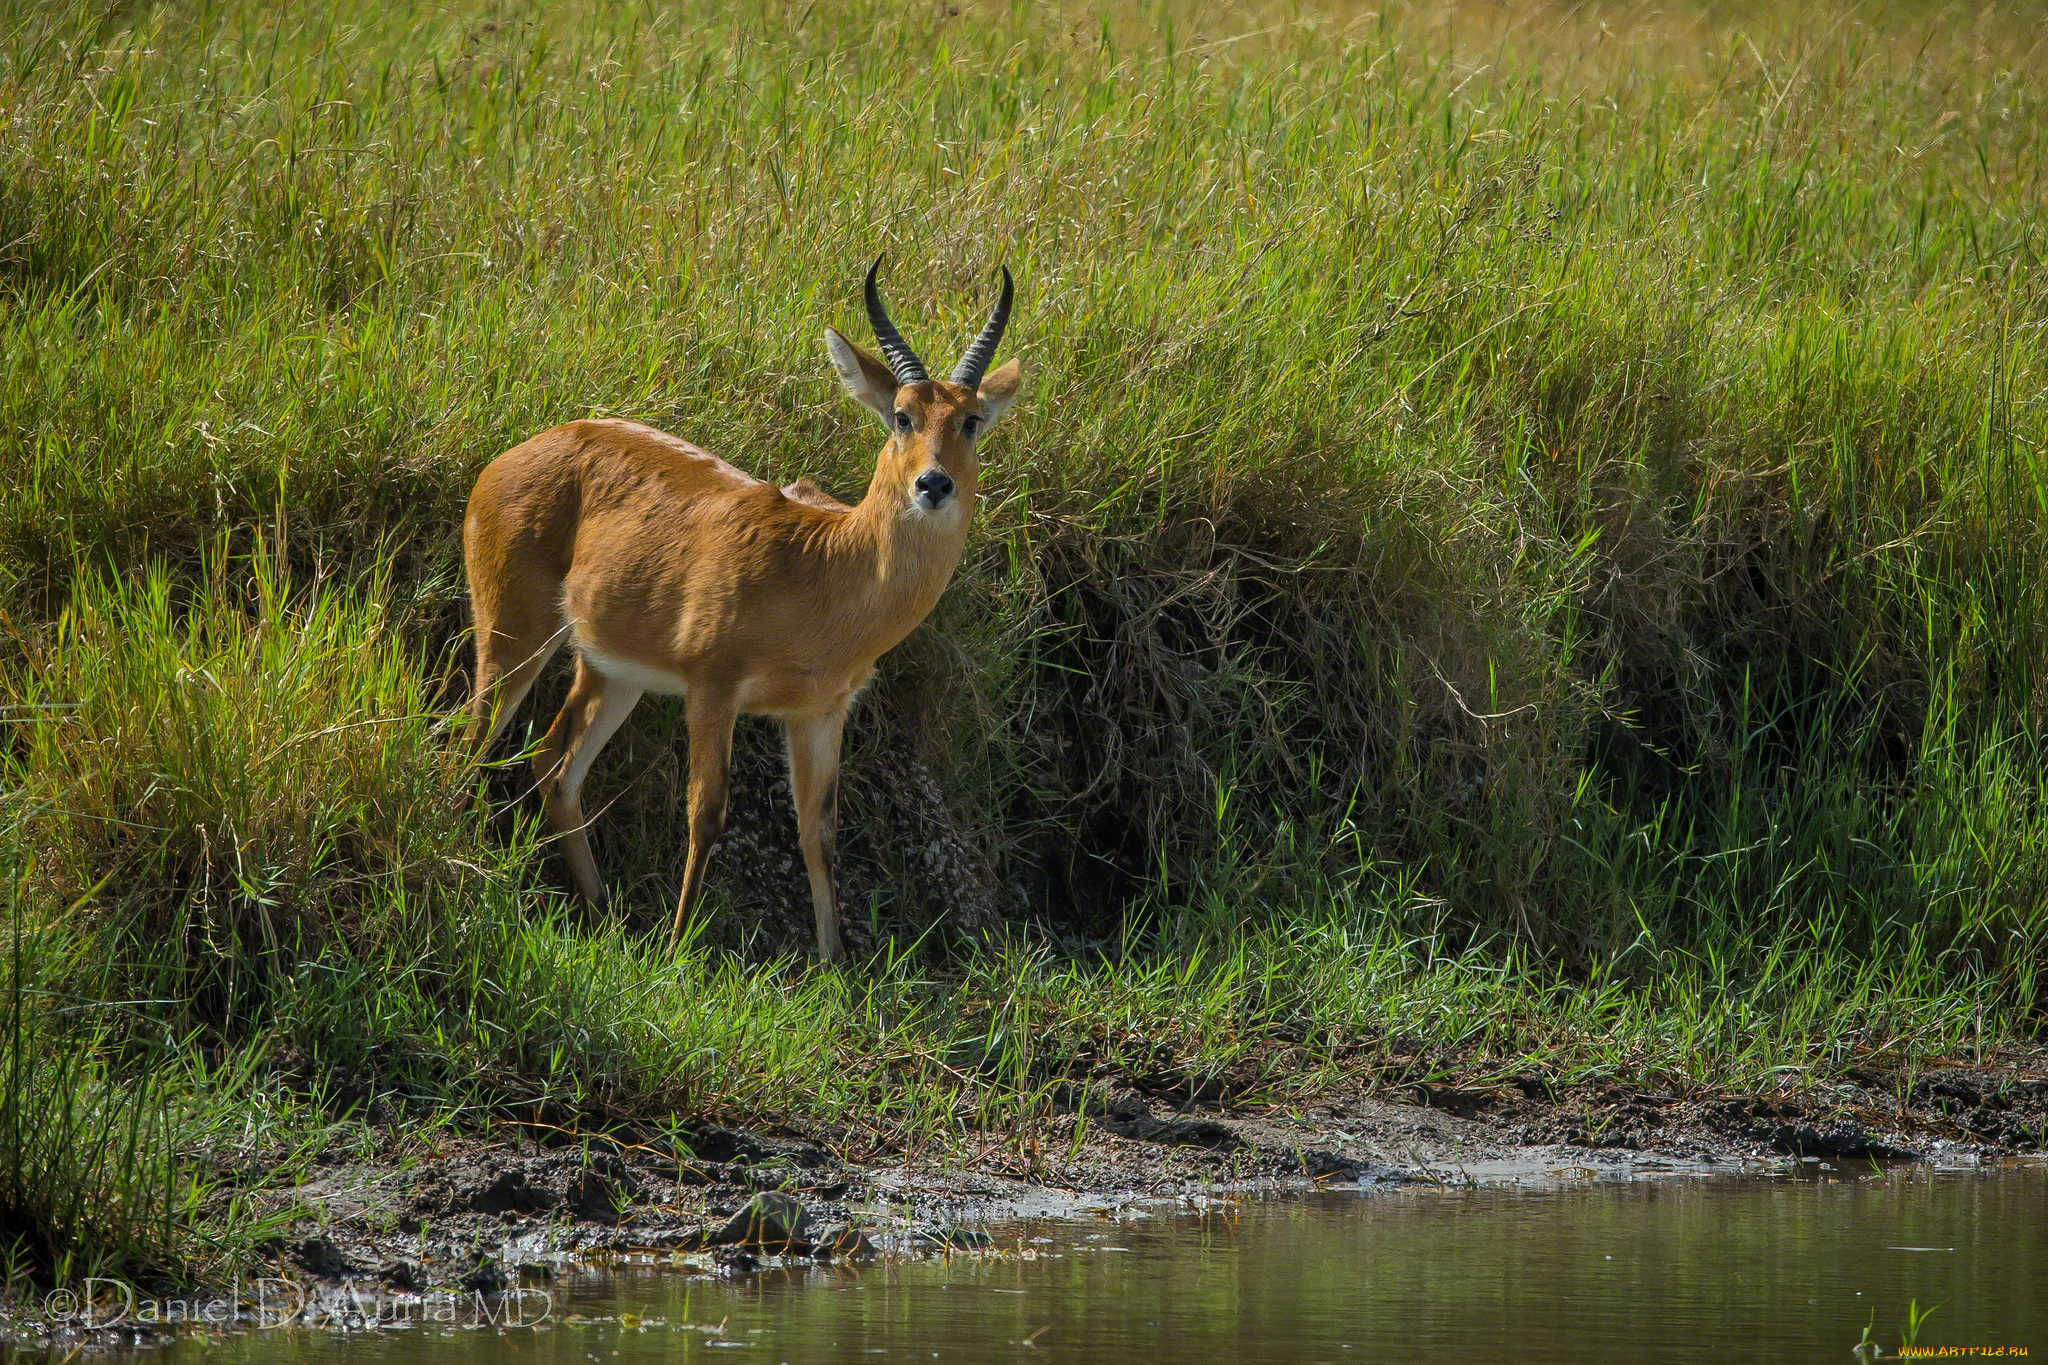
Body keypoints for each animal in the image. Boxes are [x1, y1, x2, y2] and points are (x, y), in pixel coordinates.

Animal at [458, 255, 1015, 961]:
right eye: (901, 415)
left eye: (971, 419)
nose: (933, 484)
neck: (828, 567)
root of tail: (512, 455)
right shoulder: (712, 688)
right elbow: (706, 811)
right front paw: (675, 952)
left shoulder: (819, 713)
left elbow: (818, 833)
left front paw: (834, 965)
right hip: (514, 636)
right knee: (473, 739)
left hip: (611, 671)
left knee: (554, 766)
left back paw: (601, 911)